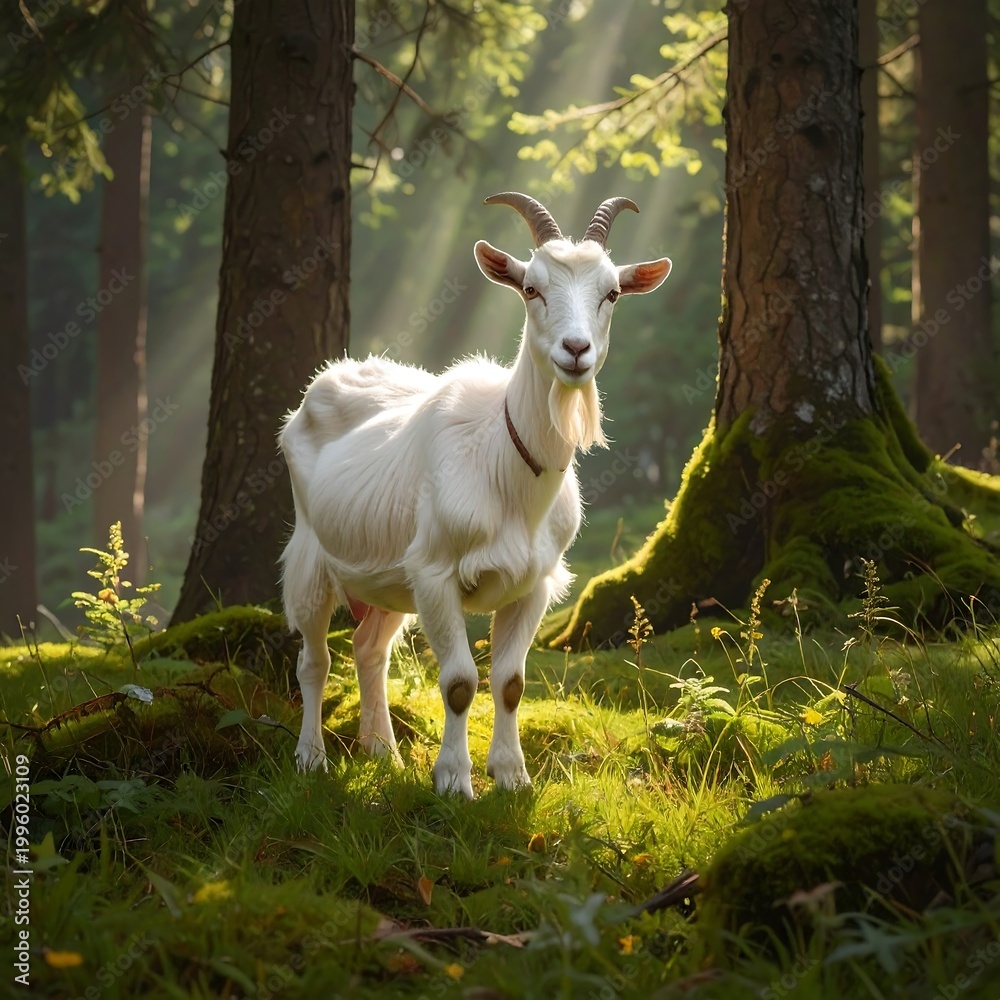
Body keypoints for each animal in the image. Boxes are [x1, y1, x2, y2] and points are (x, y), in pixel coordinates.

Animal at [280, 193, 672, 797]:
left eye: (611, 293)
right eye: (531, 288)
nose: (576, 350)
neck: (505, 468)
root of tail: (324, 382)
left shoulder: (533, 584)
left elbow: (510, 681)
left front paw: (512, 777)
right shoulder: (436, 573)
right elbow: (461, 682)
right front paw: (453, 781)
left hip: (390, 577)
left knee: (369, 650)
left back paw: (382, 752)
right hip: (311, 555)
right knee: (314, 661)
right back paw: (311, 757)